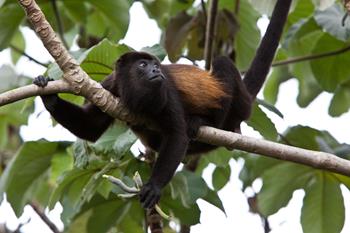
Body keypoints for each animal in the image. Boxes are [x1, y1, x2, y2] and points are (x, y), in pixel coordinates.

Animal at [34, 0, 292, 208]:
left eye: (154, 64)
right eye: (142, 65)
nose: (156, 70)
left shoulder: (166, 91)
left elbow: (177, 134)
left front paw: (155, 186)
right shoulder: (108, 85)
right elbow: (92, 127)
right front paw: (49, 95)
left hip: (240, 105)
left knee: (222, 65)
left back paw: (204, 122)